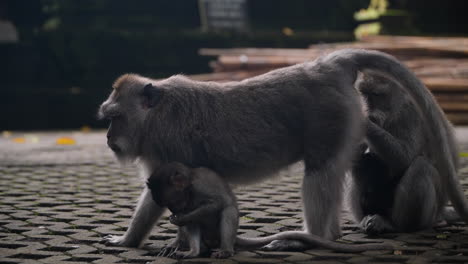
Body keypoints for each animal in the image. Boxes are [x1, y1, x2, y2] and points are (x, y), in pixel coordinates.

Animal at [145, 161, 392, 258]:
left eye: (172, 202)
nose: (175, 210)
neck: (189, 189)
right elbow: (193, 220)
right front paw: (180, 222)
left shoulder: (201, 187)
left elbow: (216, 204)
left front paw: (180, 218)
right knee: (198, 227)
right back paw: (194, 252)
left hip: (223, 233)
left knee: (227, 212)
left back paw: (225, 250)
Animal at [348, 71, 460, 234]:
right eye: (363, 93)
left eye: (376, 95)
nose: (365, 107)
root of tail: (439, 213)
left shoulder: (412, 113)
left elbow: (404, 158)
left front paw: (365, 122)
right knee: (362, 163)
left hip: (428, 216)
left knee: (421, 167)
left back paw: (395, 225)